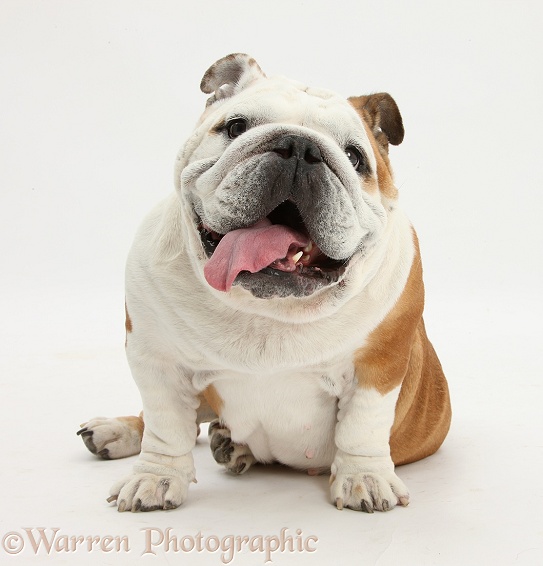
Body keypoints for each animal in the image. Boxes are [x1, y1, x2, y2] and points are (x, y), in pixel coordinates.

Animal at [77, 53, 450, 516]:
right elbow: (165, 425)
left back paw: (231, 446)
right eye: (236, 127)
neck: (266, 309)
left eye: (354, 156)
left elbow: (362, 426)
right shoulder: (156, 359)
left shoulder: (379, 365)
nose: (300, 148)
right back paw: (118, 431)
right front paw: (155, 477)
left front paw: (363, 476)